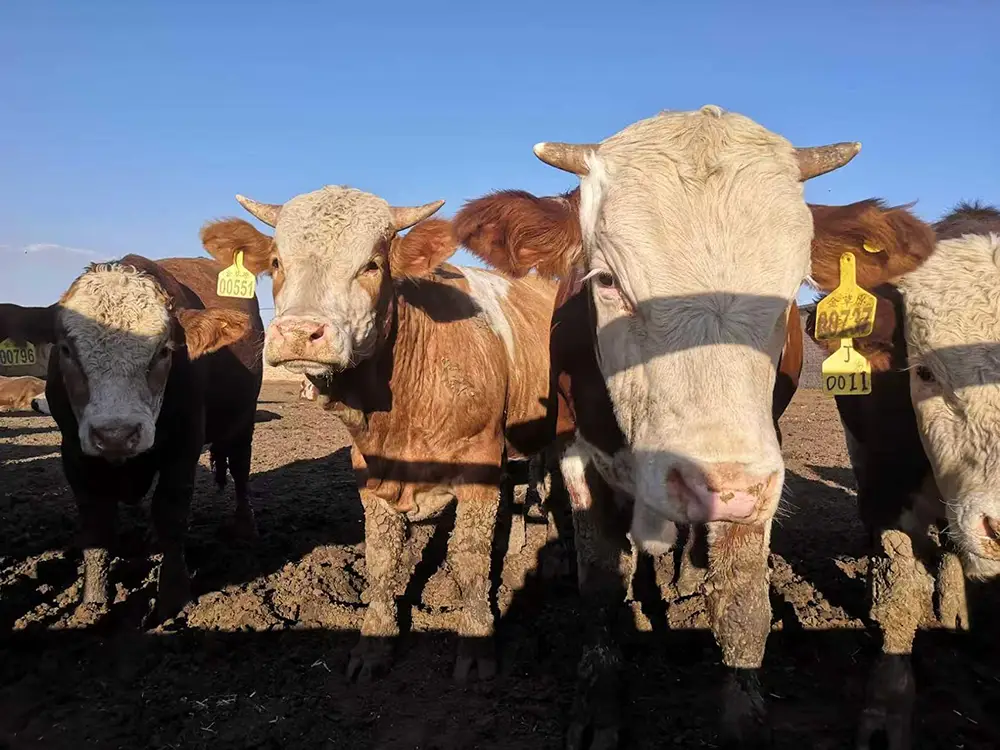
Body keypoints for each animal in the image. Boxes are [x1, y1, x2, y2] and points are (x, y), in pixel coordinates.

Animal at [0, 255, 264, 618]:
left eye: (165, 351)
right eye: (65, 350)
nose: (116, 434)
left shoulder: (184, 447)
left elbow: (170, 512)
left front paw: (171, 599)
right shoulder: (74, 455)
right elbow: (96, 525)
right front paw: (93, 602)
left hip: (243, 420)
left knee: (240, 469)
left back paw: (244, 527)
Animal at [200, 185, 558, 682]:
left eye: (372, 265)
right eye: (275, 261)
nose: (299, 332)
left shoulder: (481, 467)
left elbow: (469, 557)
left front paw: (476, 642)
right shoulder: (369, 472)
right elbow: (382, 558)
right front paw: (375, 643)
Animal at [452, 105, 936, 748]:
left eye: (791, 289)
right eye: (606, 280)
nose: (716, 482)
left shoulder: (756, 469)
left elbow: (740, 599)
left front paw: (741, 715)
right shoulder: (581, 451)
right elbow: (600, 585)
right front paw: (599, 706)